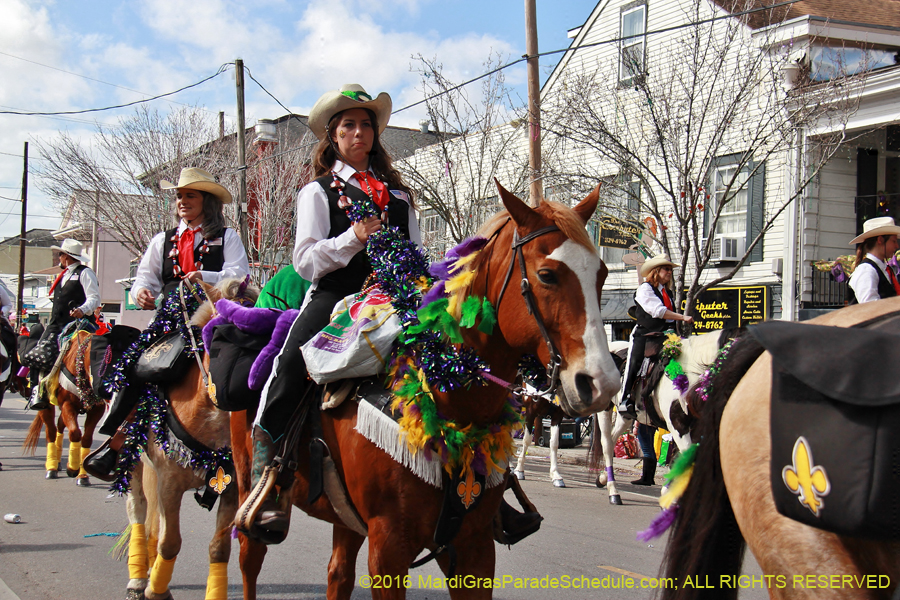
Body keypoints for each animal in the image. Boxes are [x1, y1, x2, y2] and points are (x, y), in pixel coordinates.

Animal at [23, 326, 105, 486]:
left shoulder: (97, 409)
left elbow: (86, 438)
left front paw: (82, 476)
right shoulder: (68, 404)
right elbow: (75, 433)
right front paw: (72, 468)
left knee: (60, 426)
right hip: (46, 406)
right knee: (51, 431)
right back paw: (52, 467)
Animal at [119, 278, 256, 600]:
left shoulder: (230, 487)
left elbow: (219, 548)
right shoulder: (169, 482)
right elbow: (170, 541)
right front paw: (156, 591)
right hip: (135, 466)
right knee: (139, 513)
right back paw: (138, 580)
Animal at [232, 185, 624, 596]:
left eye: (601, 274)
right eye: (547, 275)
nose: (602, 382)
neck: (450, 395)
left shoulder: (472, 547)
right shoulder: (388, 547)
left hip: (347, 520)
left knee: (338, 574)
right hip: (246, 487)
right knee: (248, 559)